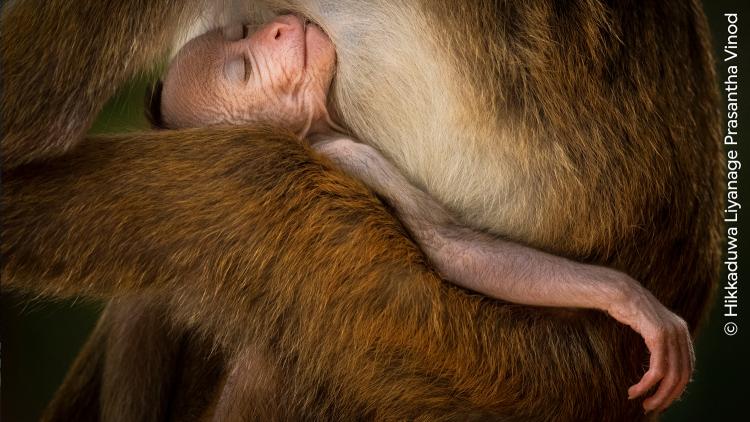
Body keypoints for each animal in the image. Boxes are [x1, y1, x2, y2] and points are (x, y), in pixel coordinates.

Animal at [1, 0, 723, 420]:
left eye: (243, 33)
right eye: (241, 68)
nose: (280, 24)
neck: (321, 126)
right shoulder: (351, 155)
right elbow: (450, 248)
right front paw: (627, 299)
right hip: (494, 371)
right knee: (257, 186)